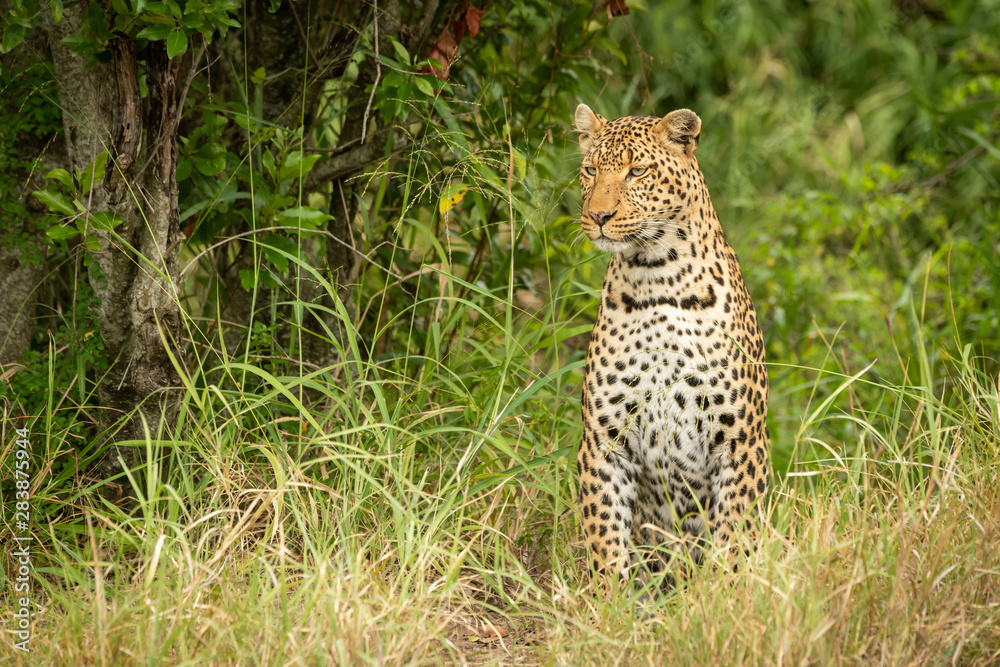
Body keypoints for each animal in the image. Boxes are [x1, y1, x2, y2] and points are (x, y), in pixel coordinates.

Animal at [573, 103, 770, 584]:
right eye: (590, 170)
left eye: (637, 171)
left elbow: (733, 539)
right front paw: (607, 600)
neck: (656, 277)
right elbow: (605, 540)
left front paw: (726, 593)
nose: (598, 216)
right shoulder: (604, 442)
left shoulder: (739, 443)